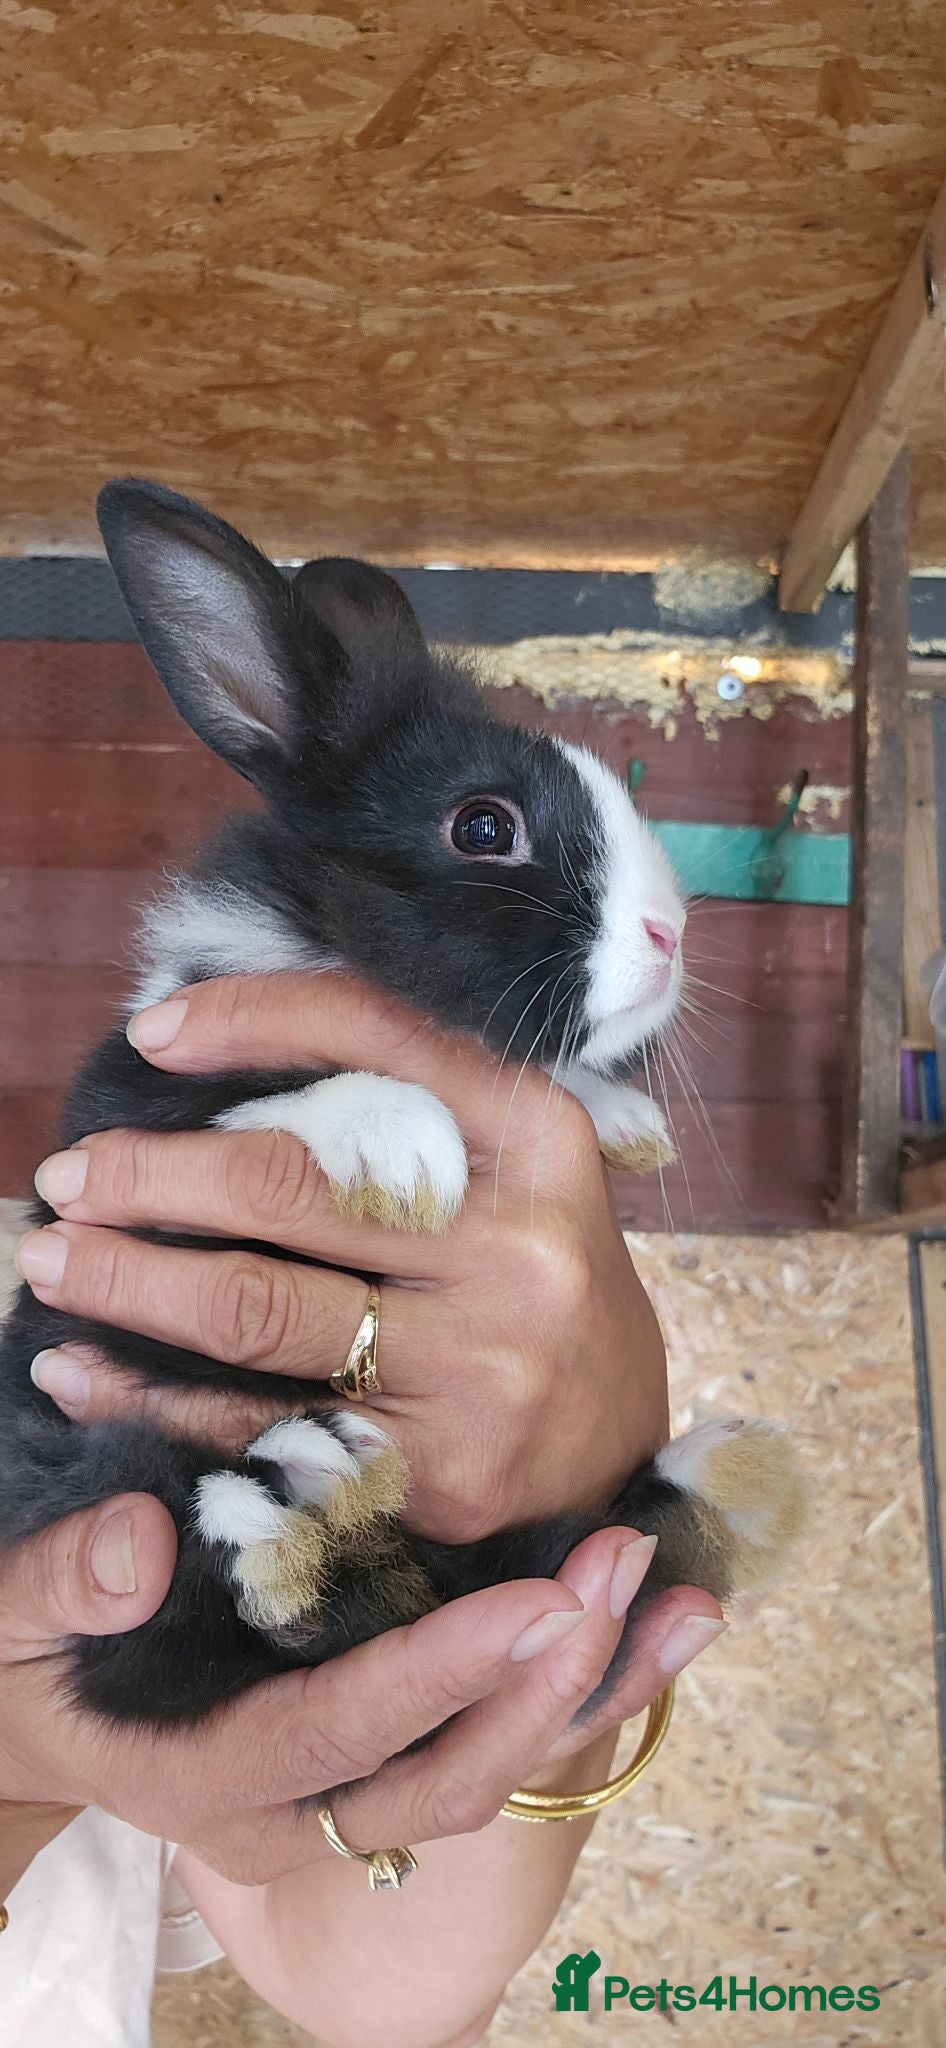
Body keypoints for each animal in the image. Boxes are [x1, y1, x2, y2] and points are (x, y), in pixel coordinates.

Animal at [0, 481, 806, 1725]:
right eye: (483, 826)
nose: (669, 938)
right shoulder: (124, 1128)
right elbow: (275, 1100)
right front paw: (411, 1150)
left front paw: (623, 1124)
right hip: (120, 1488)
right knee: (236, 1610)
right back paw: (295, 1500)